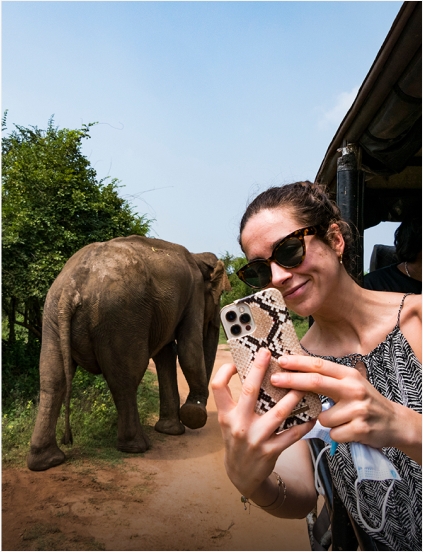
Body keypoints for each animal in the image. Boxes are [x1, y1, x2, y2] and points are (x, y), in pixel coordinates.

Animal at [27, 235, 232, 472]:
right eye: (219, 296)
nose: (195, 407)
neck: (198, 257)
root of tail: (72, 288)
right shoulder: (194, 296)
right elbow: (188, 348)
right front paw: (192, 416)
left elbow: (166, 354)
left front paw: (171, 430)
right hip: (120, 317)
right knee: (125, 379)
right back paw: (137, 446)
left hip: (52, 315)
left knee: (52, 380)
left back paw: (47, 461)